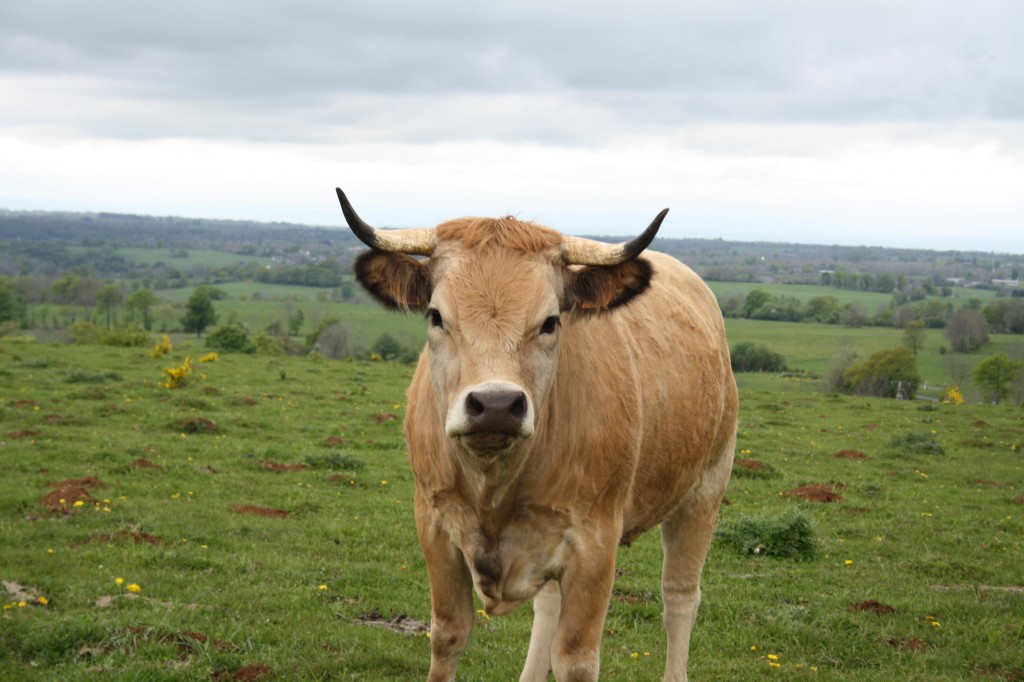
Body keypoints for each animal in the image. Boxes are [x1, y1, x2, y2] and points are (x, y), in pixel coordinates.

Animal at [337, 187, 737, 679]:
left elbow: (576, 657)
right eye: (435, 316)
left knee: (680, 597)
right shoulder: (434, 524)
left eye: (550, 321)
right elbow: (448, 635)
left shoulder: (595, 543)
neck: (495, 483)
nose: (495, 405)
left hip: (705, 491)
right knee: (548, 605)